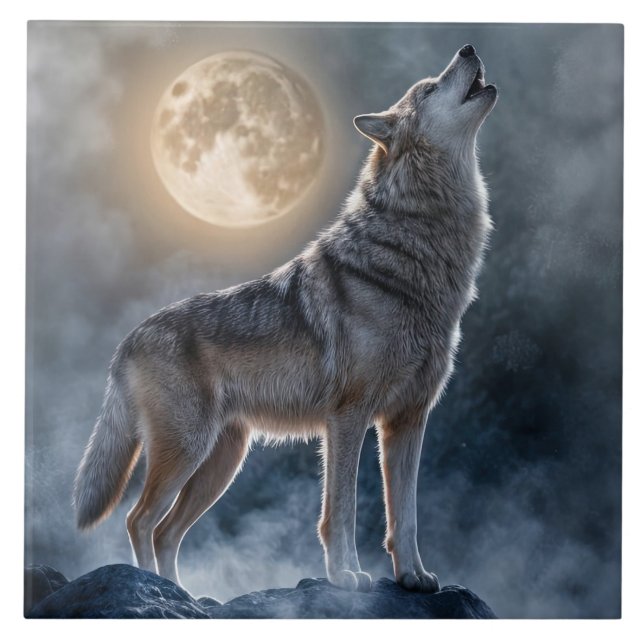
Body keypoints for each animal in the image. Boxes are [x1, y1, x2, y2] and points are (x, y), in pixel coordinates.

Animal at [73, 44, 497, 594]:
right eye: (429, 88)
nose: (468, 48)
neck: (418, 254)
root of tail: (128, 340)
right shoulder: (347, 417)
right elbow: (339, 512)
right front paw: (346, 576)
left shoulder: (407, 420)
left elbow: (405, 516)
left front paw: (413, 577)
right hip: (189, 452)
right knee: (138, 519)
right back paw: (159, 591)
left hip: (221, 464)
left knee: (165, 530)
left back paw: (184, 594)